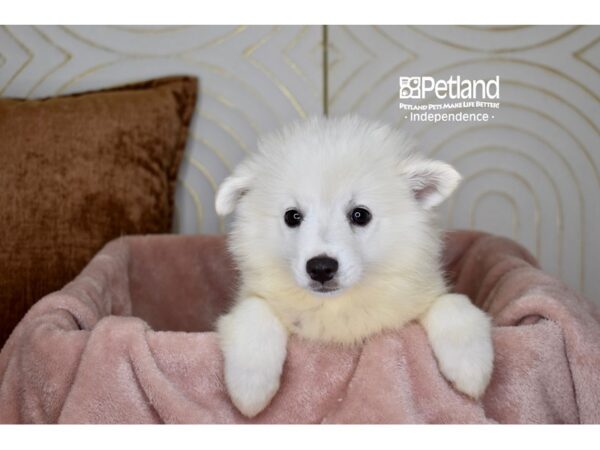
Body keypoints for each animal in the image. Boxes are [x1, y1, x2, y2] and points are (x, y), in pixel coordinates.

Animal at [214, 116, 492, 418]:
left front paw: (470, 368)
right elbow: (254, 311)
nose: (321, 268)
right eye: (292, 216)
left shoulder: (423, 293)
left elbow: (453, 304)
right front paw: (250, 389)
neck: (336, 305)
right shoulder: (251, 296)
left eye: (360, 215)